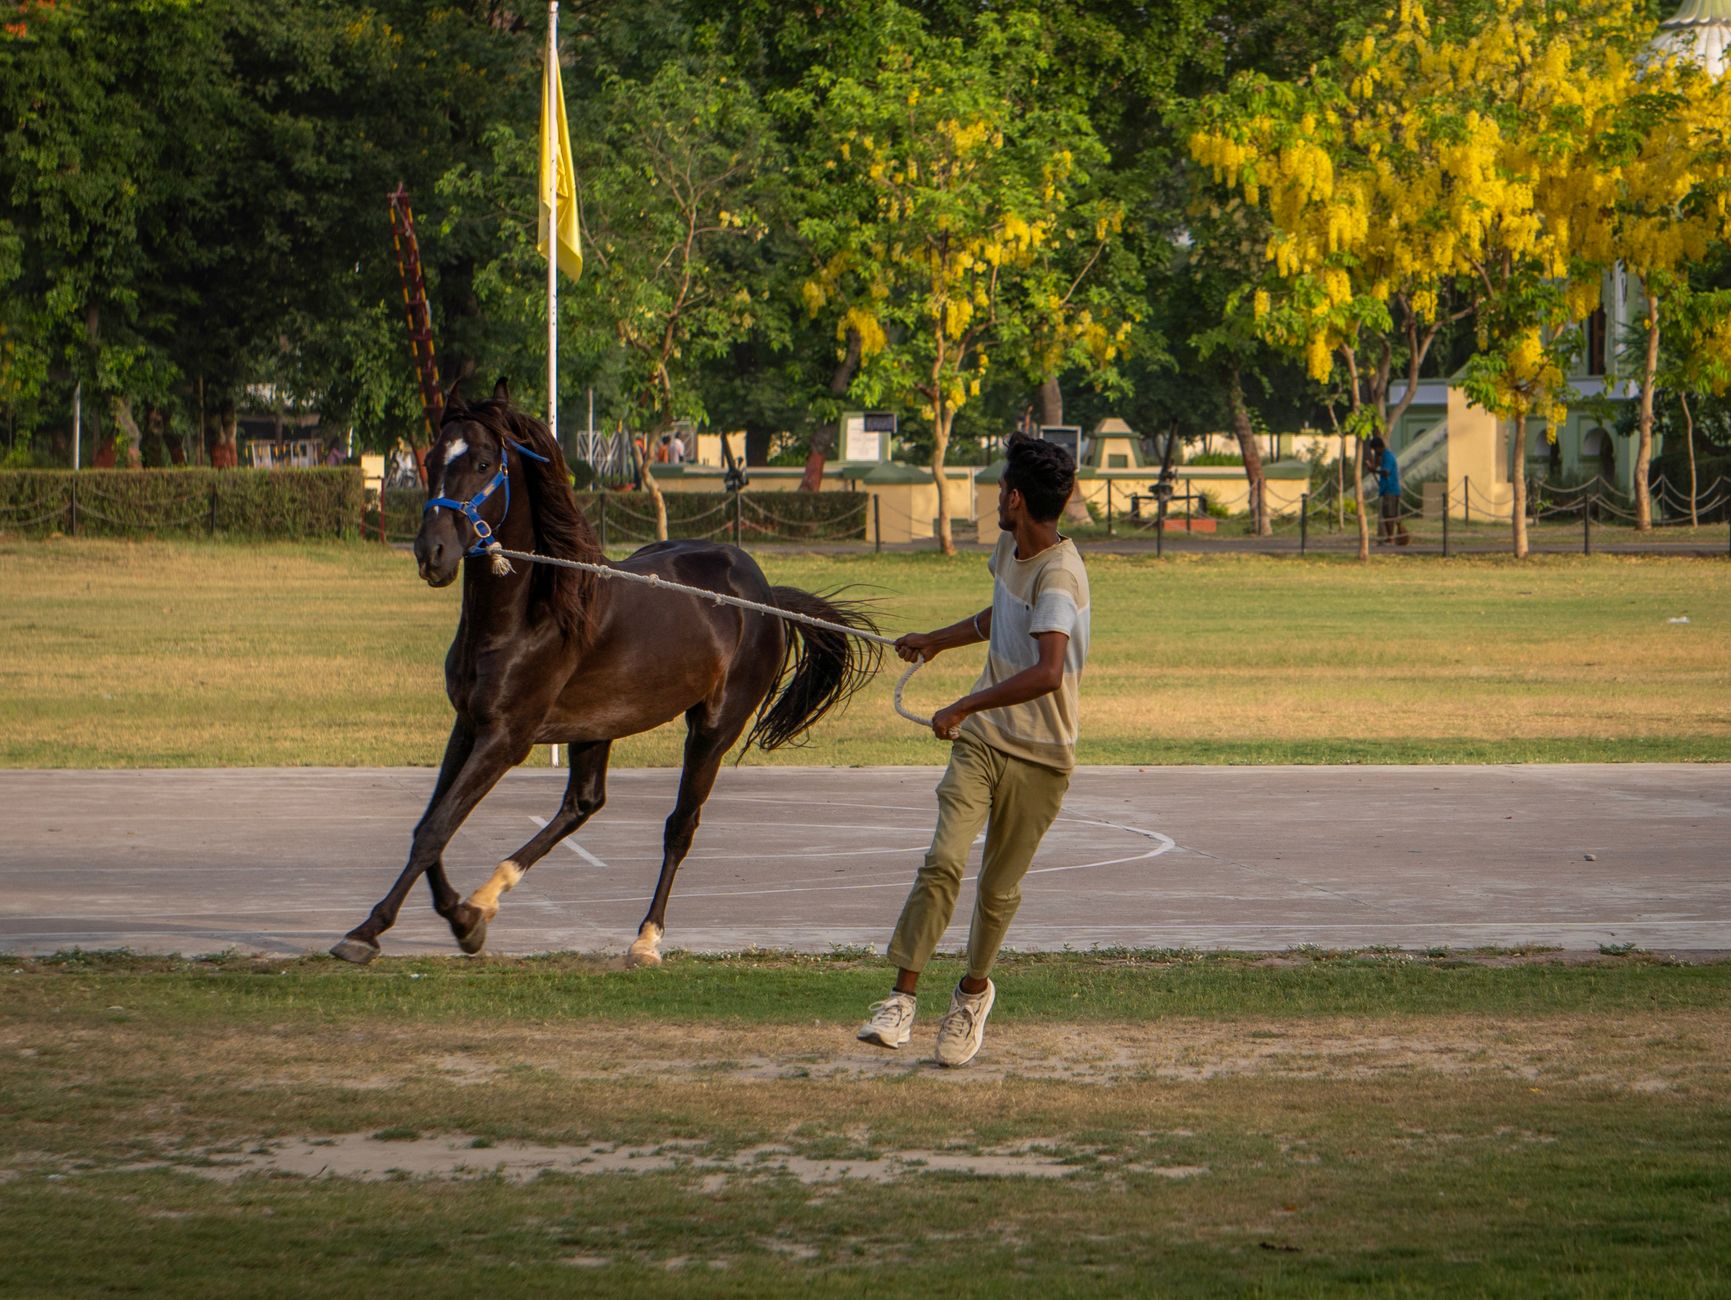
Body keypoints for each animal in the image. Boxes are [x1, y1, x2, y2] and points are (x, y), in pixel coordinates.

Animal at [330, 381, 880, 967]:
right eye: (432, 459)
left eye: (481, 462)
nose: (431, 553)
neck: (533, 613)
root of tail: (765, 594)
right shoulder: (468, 726)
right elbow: (432, 825)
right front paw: (460, 917)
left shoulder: (506, 737)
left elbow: (437, 828)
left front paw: (371, 930)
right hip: (596, 727)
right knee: (583, 803)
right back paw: (486, 899)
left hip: (713, 727)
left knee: (679, 827)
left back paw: (647, 938)